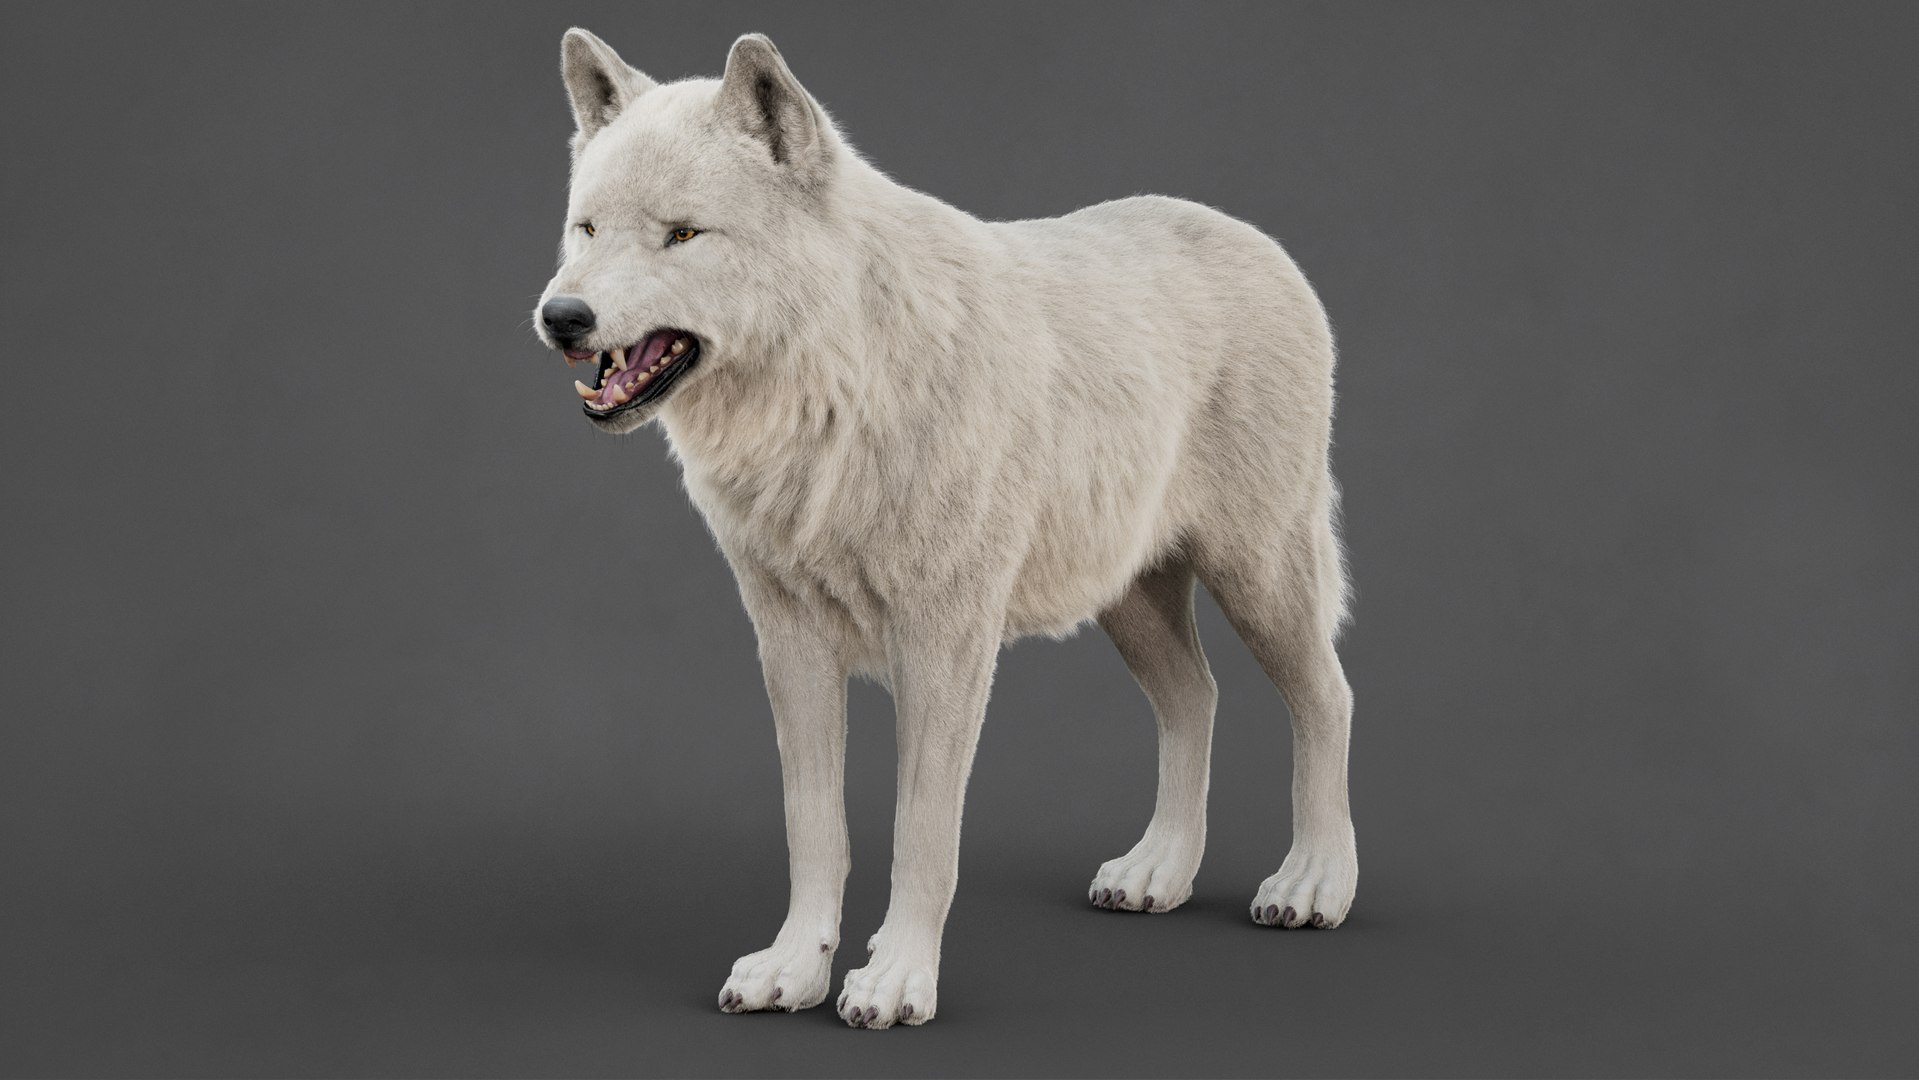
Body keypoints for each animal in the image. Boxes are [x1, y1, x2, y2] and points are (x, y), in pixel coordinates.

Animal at [533, 30, 1358, 1029]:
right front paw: (793, 971)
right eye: (586, 230)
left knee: (1327, 699)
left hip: (1258, 577)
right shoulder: (788, 642)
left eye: (682, 234)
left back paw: (1313, 883)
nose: (560, 318)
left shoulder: (944, 642)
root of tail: (1262, 242)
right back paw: (1157, 872)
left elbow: (921, 832)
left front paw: (895, 981)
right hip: (1129, 601)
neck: (839, 391)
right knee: (1195, 698)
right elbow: (815, 828)